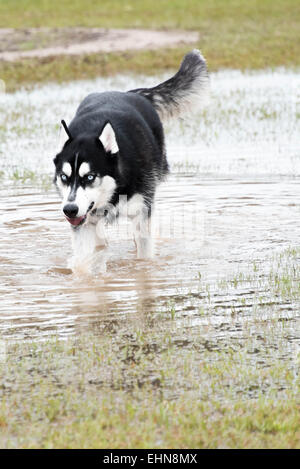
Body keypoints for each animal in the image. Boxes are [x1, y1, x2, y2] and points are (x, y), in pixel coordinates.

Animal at [53, 50, 209, 270]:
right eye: (64, 177)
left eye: (90, 177)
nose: (69, 210)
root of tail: (130, 93)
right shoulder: (84, 222)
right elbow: (84, 260)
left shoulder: (142, 213)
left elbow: (144, 252)